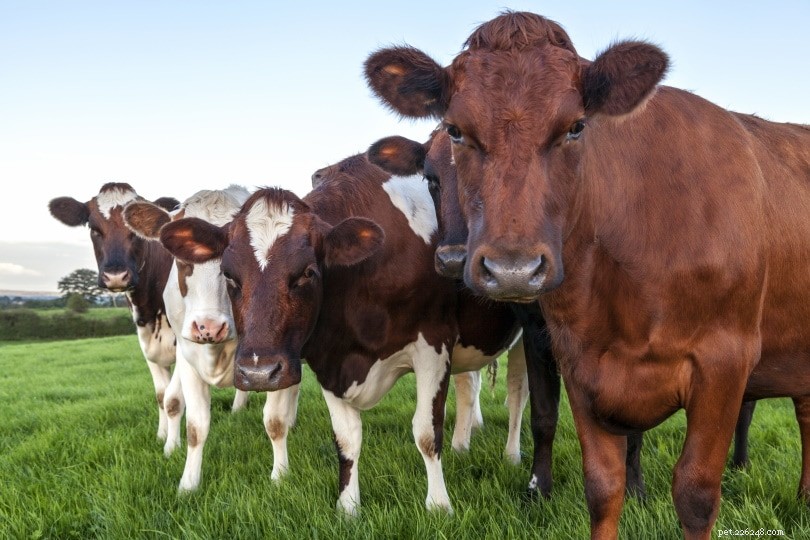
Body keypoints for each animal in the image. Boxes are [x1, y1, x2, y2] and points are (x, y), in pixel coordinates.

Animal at [48, 183, 249, 444]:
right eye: (93, 228)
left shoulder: (182, 344)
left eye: (133, 232)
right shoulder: (148, 346)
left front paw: (172, 446)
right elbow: (161, 395)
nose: (116, 275)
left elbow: (173, 399)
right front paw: (162, 435)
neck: (149, 308)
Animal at [123, 185, 300, 491]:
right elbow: (195, 426)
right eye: (179, 255)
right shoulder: (187, 356)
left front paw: (280, 477)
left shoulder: (278, 358)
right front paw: (188, 484)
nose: (208, 327)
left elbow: (274, 422)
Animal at [155, 155, 528, 515]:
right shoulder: (328, 358)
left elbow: (426, 432)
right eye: (229, 276)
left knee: (516, 394)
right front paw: (348, 507)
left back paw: (512, 456)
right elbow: (347, 438)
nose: (258, 373)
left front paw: (439, 506)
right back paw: (462, 445)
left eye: (307, 272)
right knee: (469, 387)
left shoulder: (433, 346)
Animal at [364, 10, 810, 539]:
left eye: (576, 126)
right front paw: (545, 488)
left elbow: (696, 493)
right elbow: (594, 478)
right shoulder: (574, 355)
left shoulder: (725, 360)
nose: (512, 269)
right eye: (454, 130)